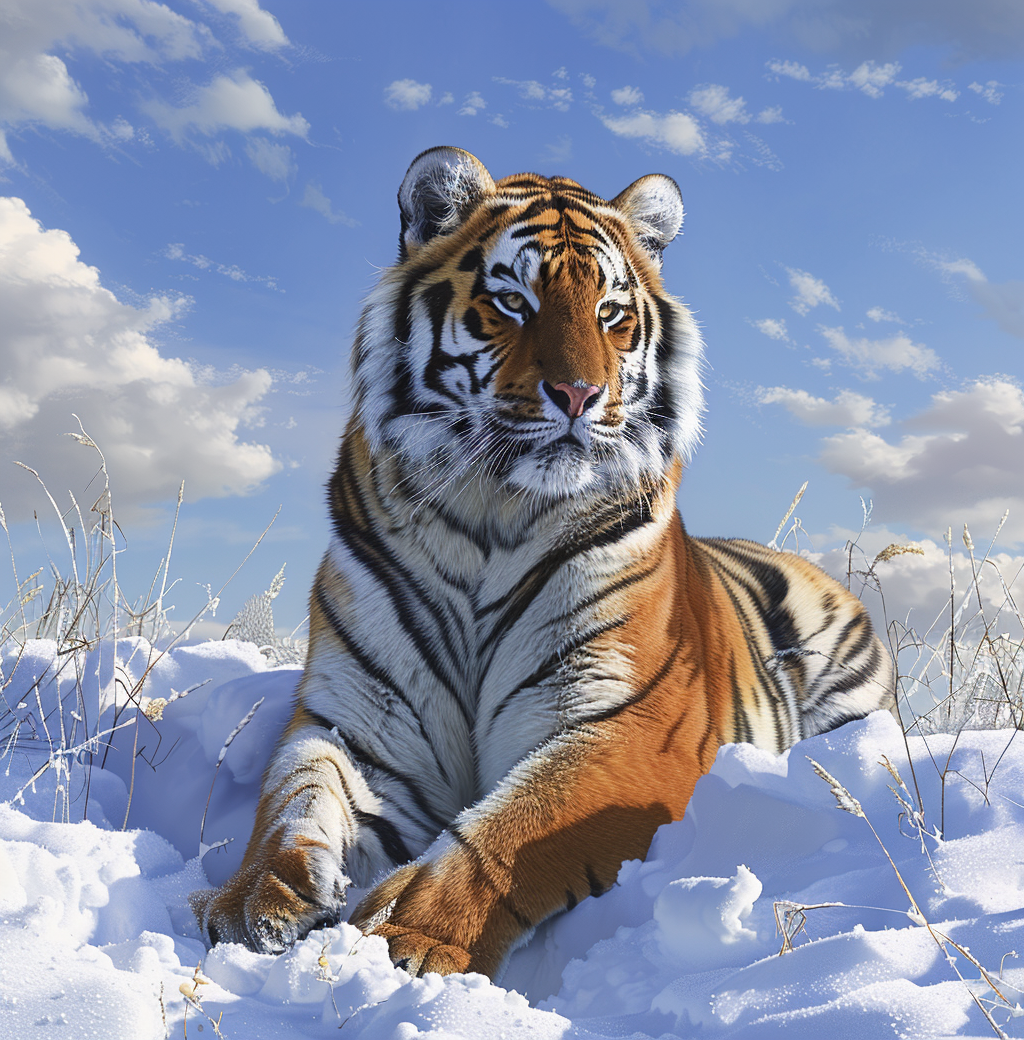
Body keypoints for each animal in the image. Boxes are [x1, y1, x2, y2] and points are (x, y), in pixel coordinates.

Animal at [190, 146, 894, 980]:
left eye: (611, 313)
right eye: (512, 302)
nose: (579, 394)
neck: (486, 517)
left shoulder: (628, 723)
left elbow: (513, 828)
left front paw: (407, 933)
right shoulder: (363, 722)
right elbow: (295, 797)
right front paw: (253, 900)